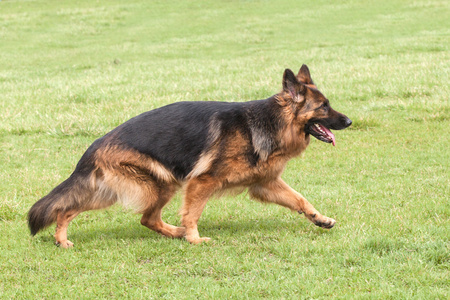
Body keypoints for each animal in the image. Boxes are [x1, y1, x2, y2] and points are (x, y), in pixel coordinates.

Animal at [27, 65, 352, 246]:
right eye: (323, 106)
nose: (349, 121)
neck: (270, 122)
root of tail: (94, 146)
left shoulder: (265, 184)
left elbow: (300, 199)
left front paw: (320, 219)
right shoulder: (202, 182)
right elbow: (193, 212)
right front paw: (195, 239)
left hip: (118, 190)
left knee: (123, 215)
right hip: (157, 185)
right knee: (137, 217)